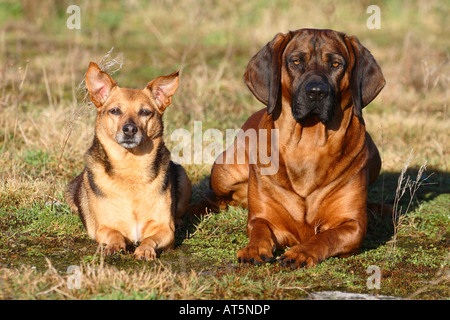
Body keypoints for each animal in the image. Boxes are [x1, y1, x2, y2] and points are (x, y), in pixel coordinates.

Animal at [65, 62, 192, 260]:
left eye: (145, 112)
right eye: (115, 111)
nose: (130, 129)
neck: (130, 166)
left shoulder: (164, 229)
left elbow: (151, 238)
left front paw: (145, 250)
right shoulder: (104, 227)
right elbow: (114, 234)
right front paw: (115, 246)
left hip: (184, 177)